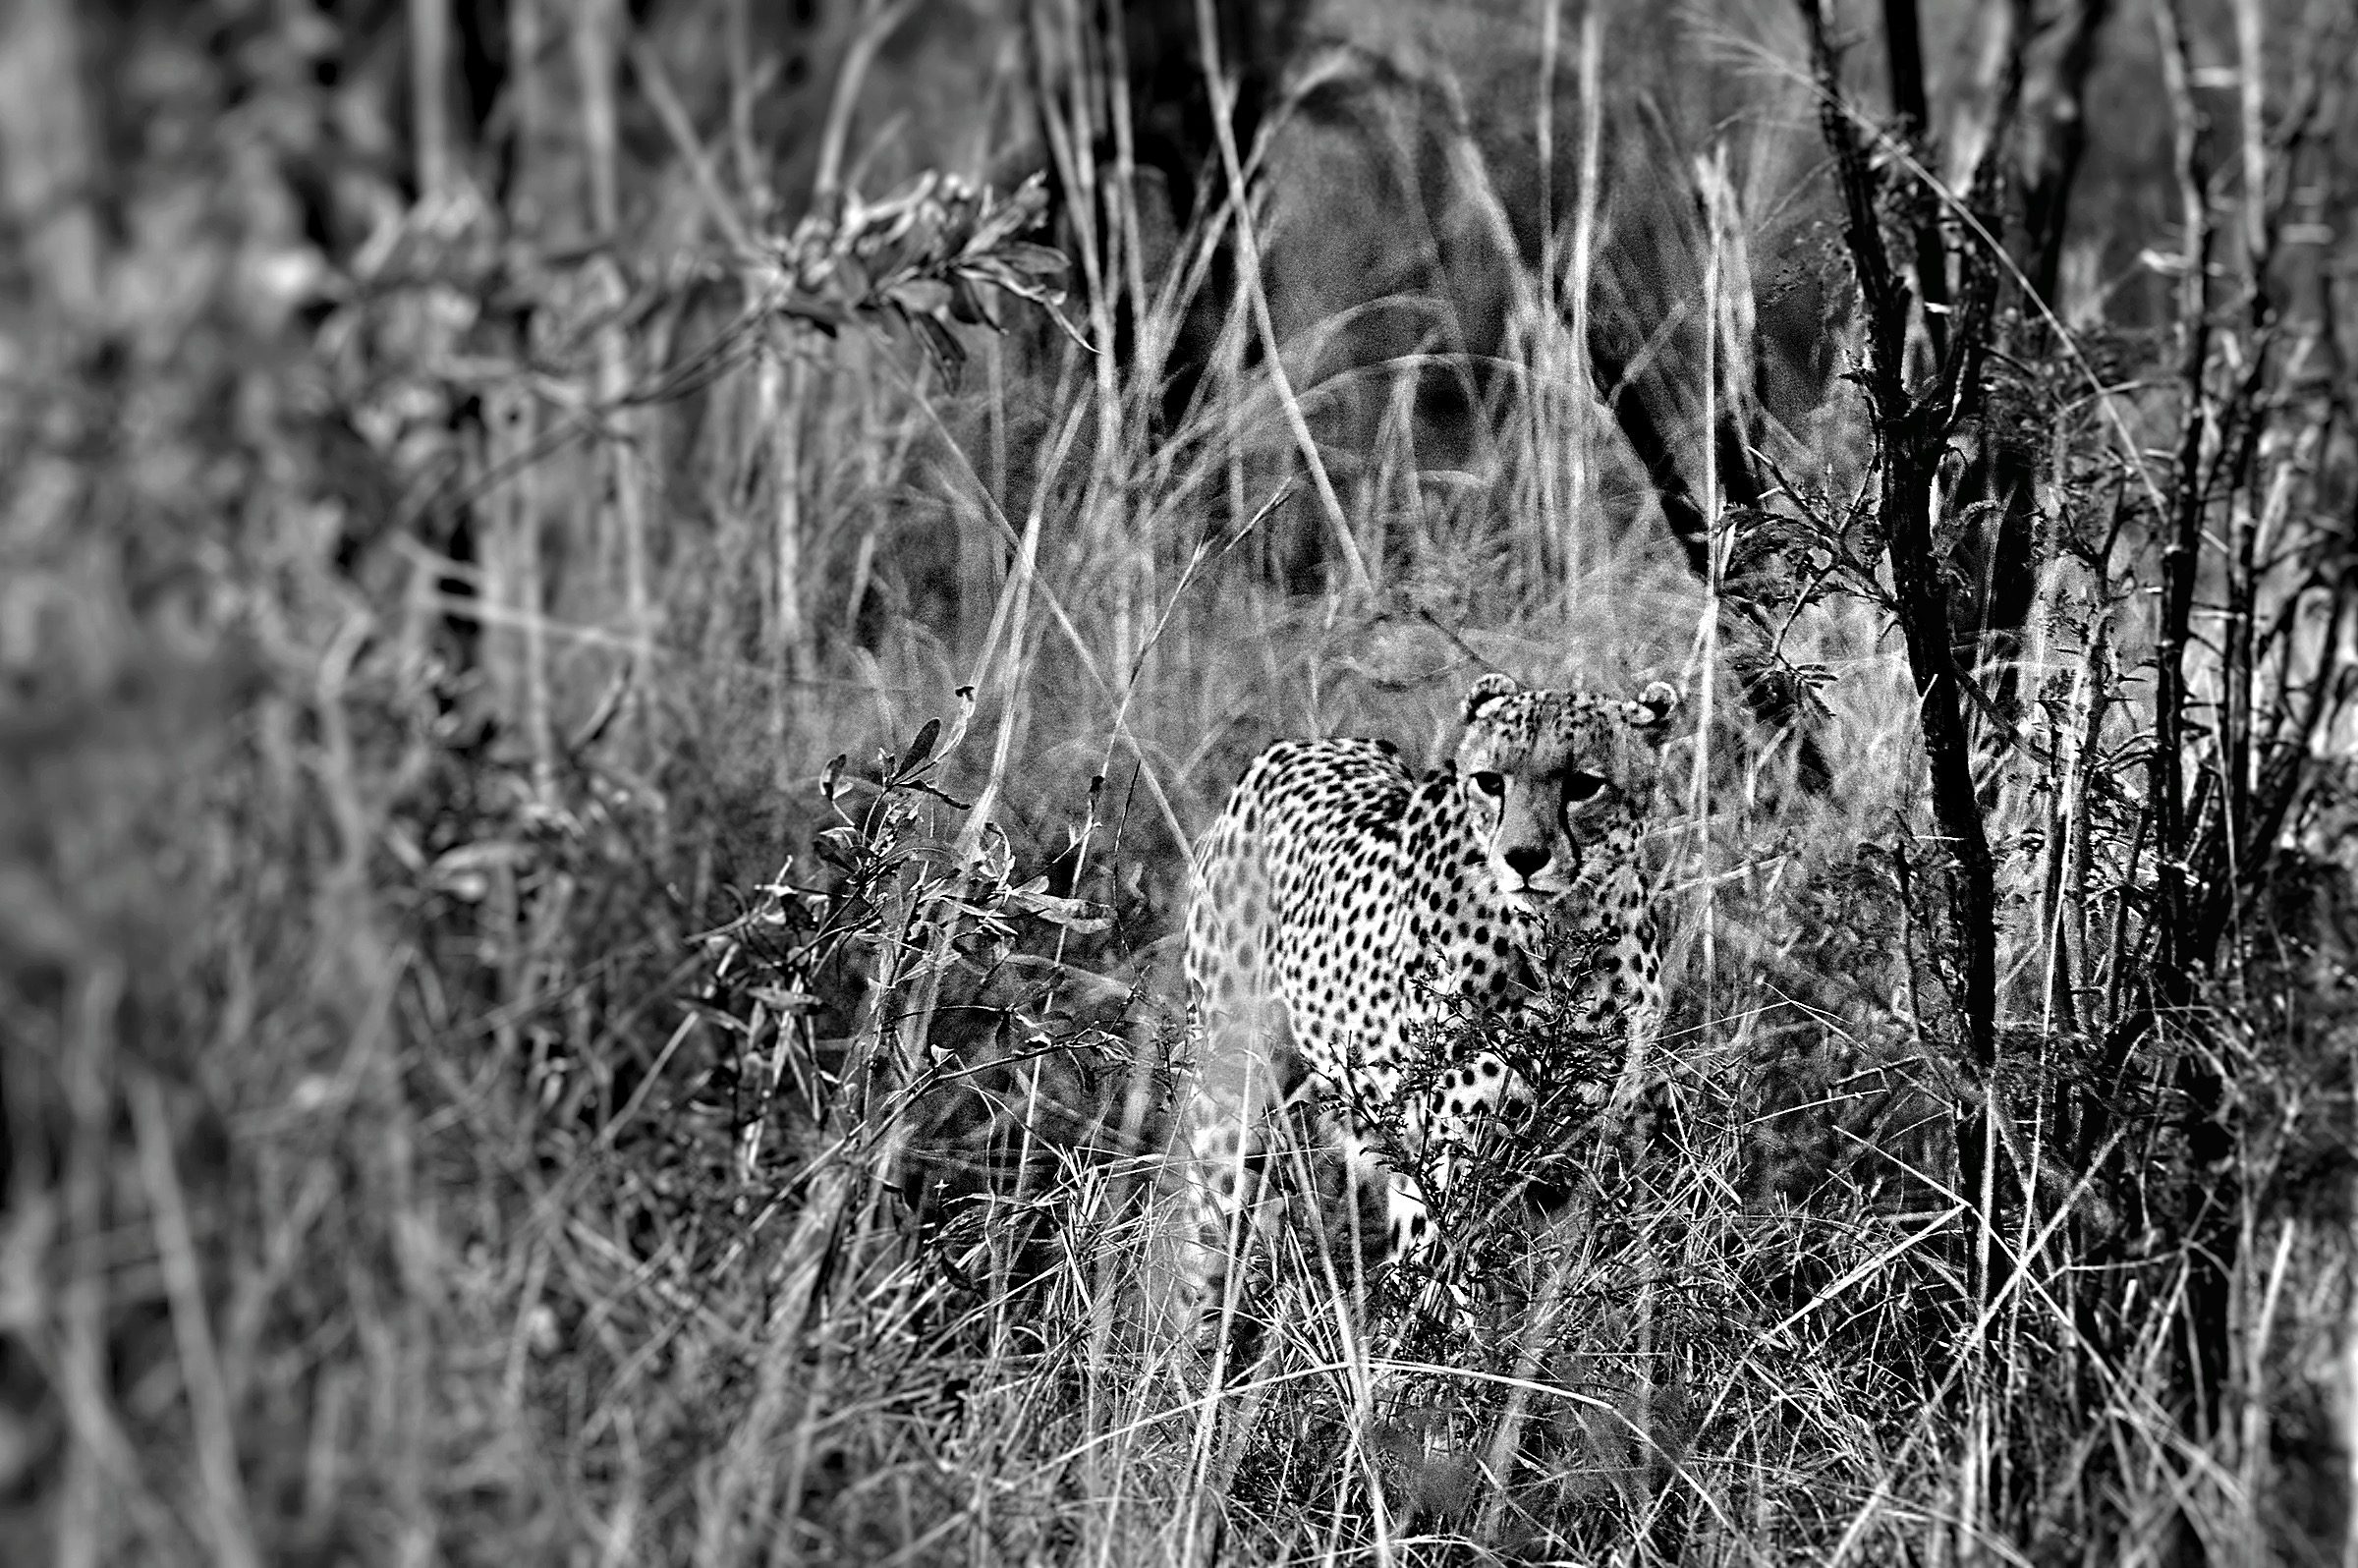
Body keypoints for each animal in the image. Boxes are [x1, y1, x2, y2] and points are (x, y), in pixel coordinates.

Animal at [1180, 672, 1682, 1341]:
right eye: (1490, 781)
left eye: (1584, 784)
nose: (1523, 858)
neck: (1564, 935)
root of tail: (1293, 745)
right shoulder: (1455, 1161)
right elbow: (1452, 1298)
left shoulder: (1570, 1157)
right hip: (1233, 1100)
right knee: (1209, 1244)